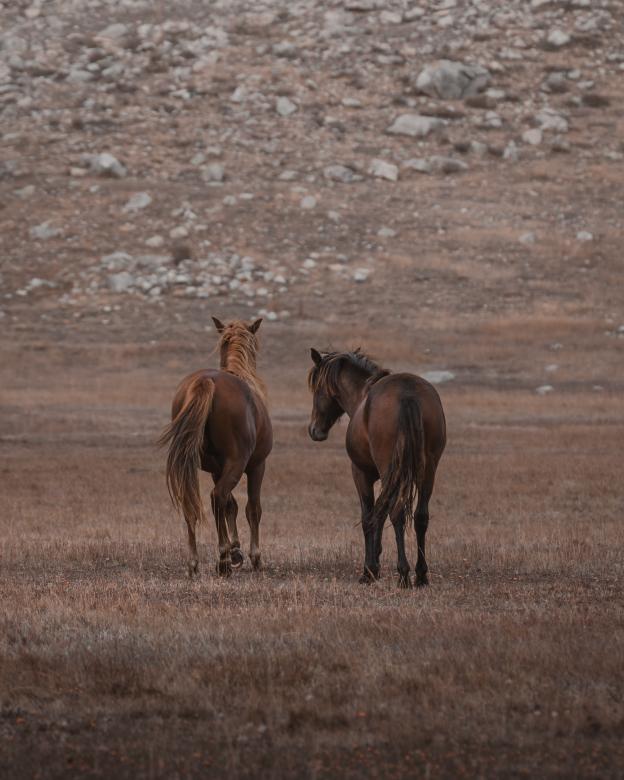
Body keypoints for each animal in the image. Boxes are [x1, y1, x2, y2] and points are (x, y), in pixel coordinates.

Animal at [159, 317, 272, 578]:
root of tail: (206, 381)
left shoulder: (216, 470)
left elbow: (231, 506)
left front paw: (236, 549)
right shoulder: (257, 466)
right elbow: (252, 508)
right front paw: (253, 556)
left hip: (192, 465)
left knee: (194, 502)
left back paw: (194, 562)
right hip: (239, 463)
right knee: (217, 496)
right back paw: (222, 560)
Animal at [308, 348, 446, 588]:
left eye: (318, 389)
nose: (314, 430)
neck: (362, 395)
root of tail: (408, 395)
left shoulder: (361, 474)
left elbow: (368, 517)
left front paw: (369, 570)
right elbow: (379, 516)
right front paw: (376, 564)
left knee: (396, 513)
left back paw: (403, 574)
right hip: (427, 472)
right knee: (421, 517)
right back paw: (420, 574)